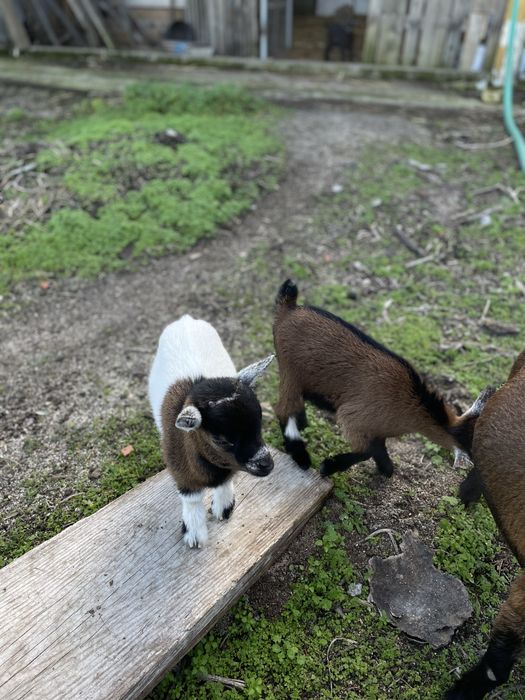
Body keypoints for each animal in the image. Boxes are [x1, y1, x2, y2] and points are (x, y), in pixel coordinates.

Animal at [148, 314, 274, 548]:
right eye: (220, 439)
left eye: (260, 422)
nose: (267, 465)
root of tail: (186, 319)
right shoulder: (182, 475)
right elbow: (192, 499)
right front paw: (194, 534)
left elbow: (225, 483)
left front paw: (223, 508)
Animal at [273, 279, 479, 477]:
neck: (413, 404)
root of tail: (289, 308)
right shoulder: (354, 418)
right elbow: (367, 451)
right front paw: (328, 466)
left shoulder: (377, 430)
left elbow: (378, 448)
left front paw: (386, 469)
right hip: (290, 371)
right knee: (284, 409)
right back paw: (301, 455)